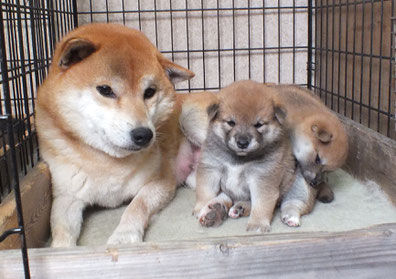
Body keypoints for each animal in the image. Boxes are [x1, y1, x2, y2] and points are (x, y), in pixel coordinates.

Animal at [36, 23, 198, 247]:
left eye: (149, 92)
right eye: (105, 90)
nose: (144, 134)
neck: (108, 161)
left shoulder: (161, 181)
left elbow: (136, 206)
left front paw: (124, 236)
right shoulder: (66, 196)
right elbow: (60, 228)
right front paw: (61, 249)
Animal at [192, 81, 296, 234]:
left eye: (258, 124)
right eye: (231, 122)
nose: (242, 143)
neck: (238, 159)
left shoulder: (261, 178)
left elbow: (261, 203)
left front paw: (258, 224)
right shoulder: (211, 168)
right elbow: (205, 191)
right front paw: (200, 207)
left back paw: (238, 208)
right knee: (226, 197)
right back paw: (216, 210)